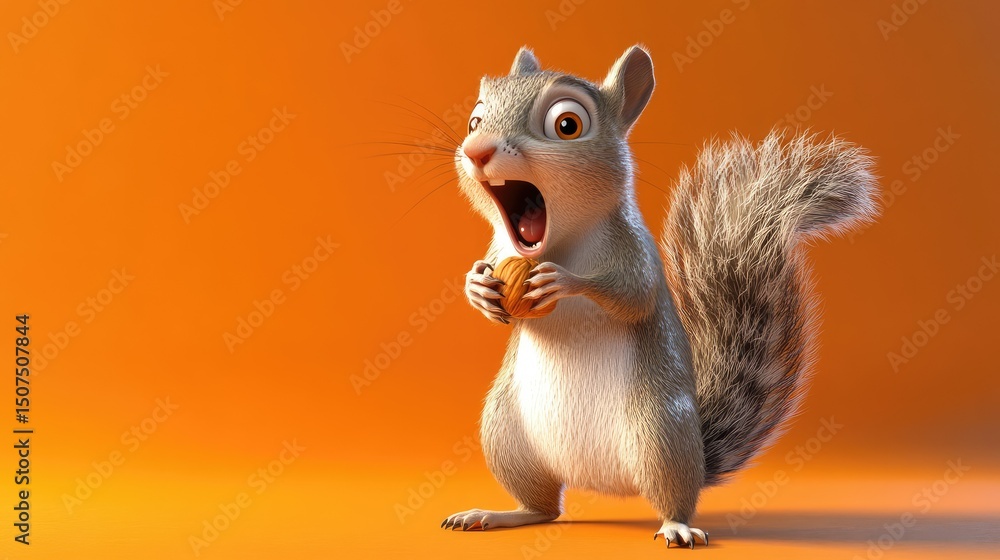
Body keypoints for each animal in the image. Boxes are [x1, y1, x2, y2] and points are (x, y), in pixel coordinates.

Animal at [441, 45, 878, 548]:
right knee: (545, 508)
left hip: (661, 434)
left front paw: (564, 281)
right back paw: (497, 514)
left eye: (567, 124)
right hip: (505, 434)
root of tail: (603, 481)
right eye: (474, 121)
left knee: (669, 497)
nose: (477, 150)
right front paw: (477, 287)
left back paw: (677, 526)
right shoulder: (501, 250)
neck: (557, 241)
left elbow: (633, 295)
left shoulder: (636, 252)